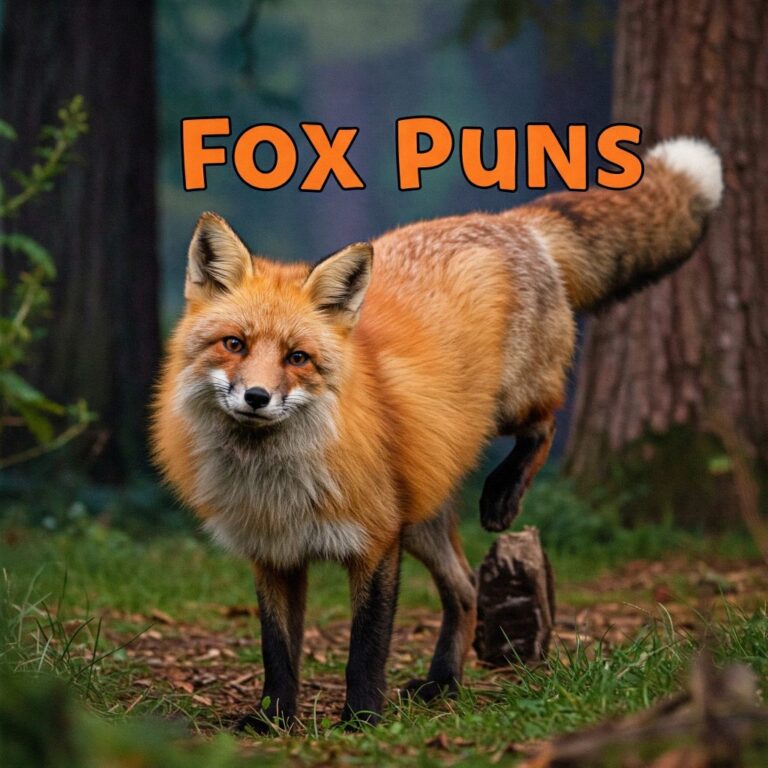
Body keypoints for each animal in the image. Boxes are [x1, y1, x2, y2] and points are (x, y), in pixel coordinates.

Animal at [152, 137, 723, 731]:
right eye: (234, 345)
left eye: (298, 358)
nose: (257, 397)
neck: (275, 481)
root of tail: (508, 221)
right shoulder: (274, 555)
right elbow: (277, 649)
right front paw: (274, 719)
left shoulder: (376, 542)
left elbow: (366, 647)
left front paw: (361, 717)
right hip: (423, 518)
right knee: (467, 590)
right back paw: (443, 681)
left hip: (507, 408)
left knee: (545, 424)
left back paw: (501, 497)